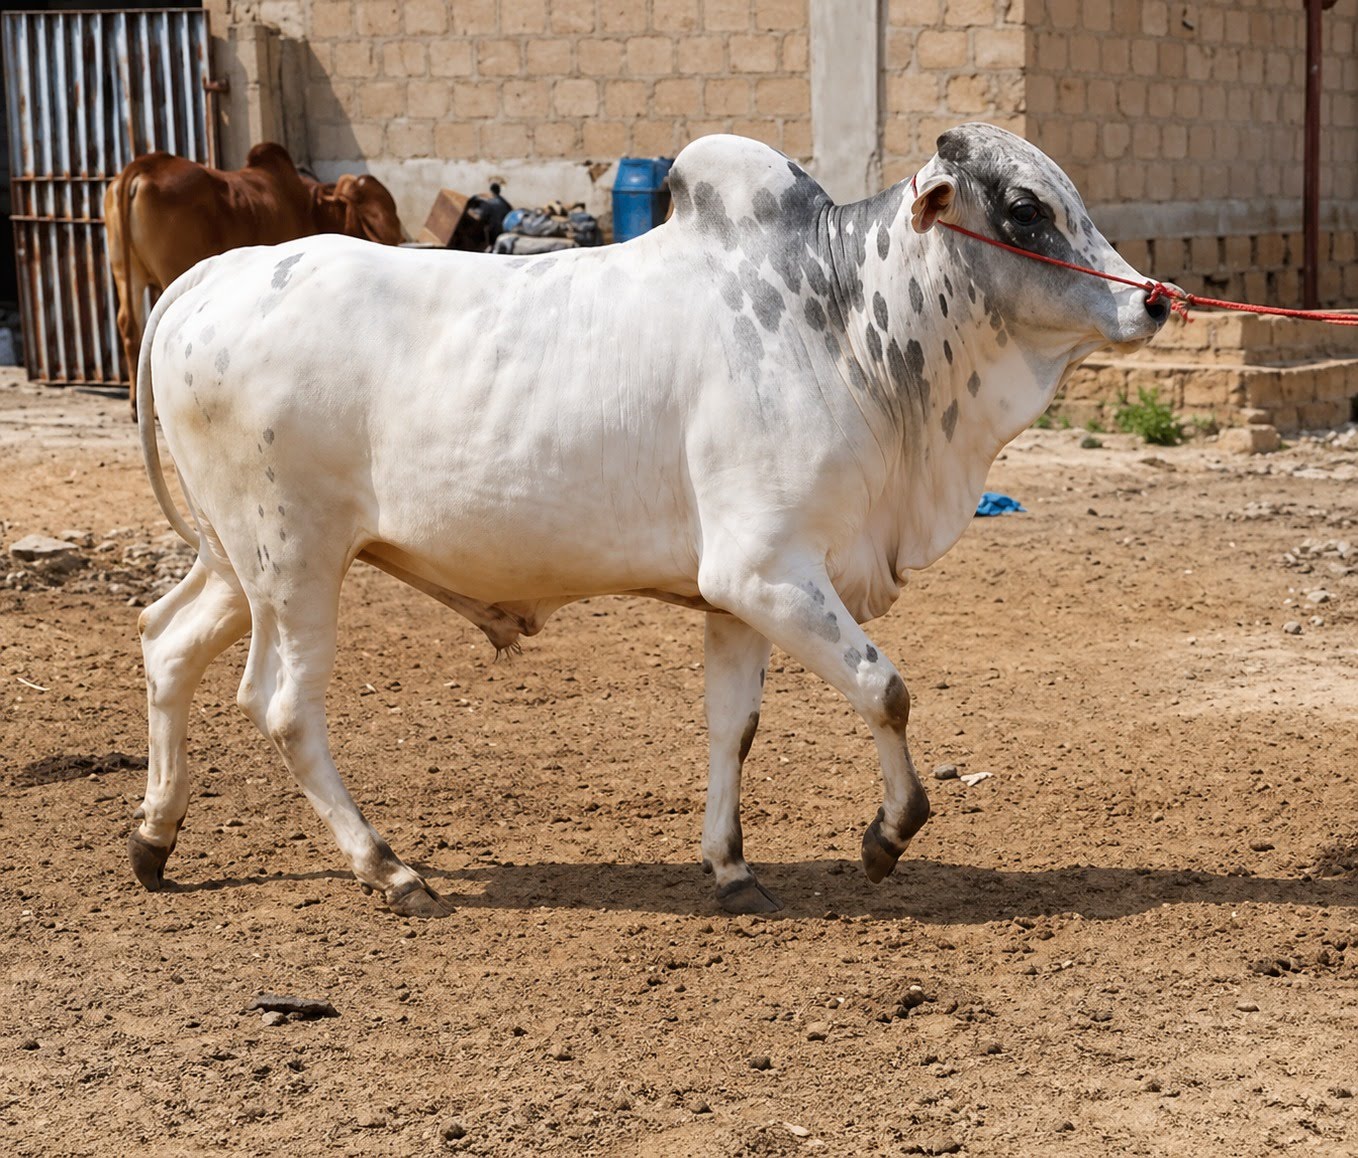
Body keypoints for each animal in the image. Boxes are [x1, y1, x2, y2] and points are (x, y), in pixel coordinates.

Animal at [103, 143, 402, 415]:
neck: (309, 207)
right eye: (366, 213)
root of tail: (145, 165)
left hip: (125, 273)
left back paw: (135, 405)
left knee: (128, 325)